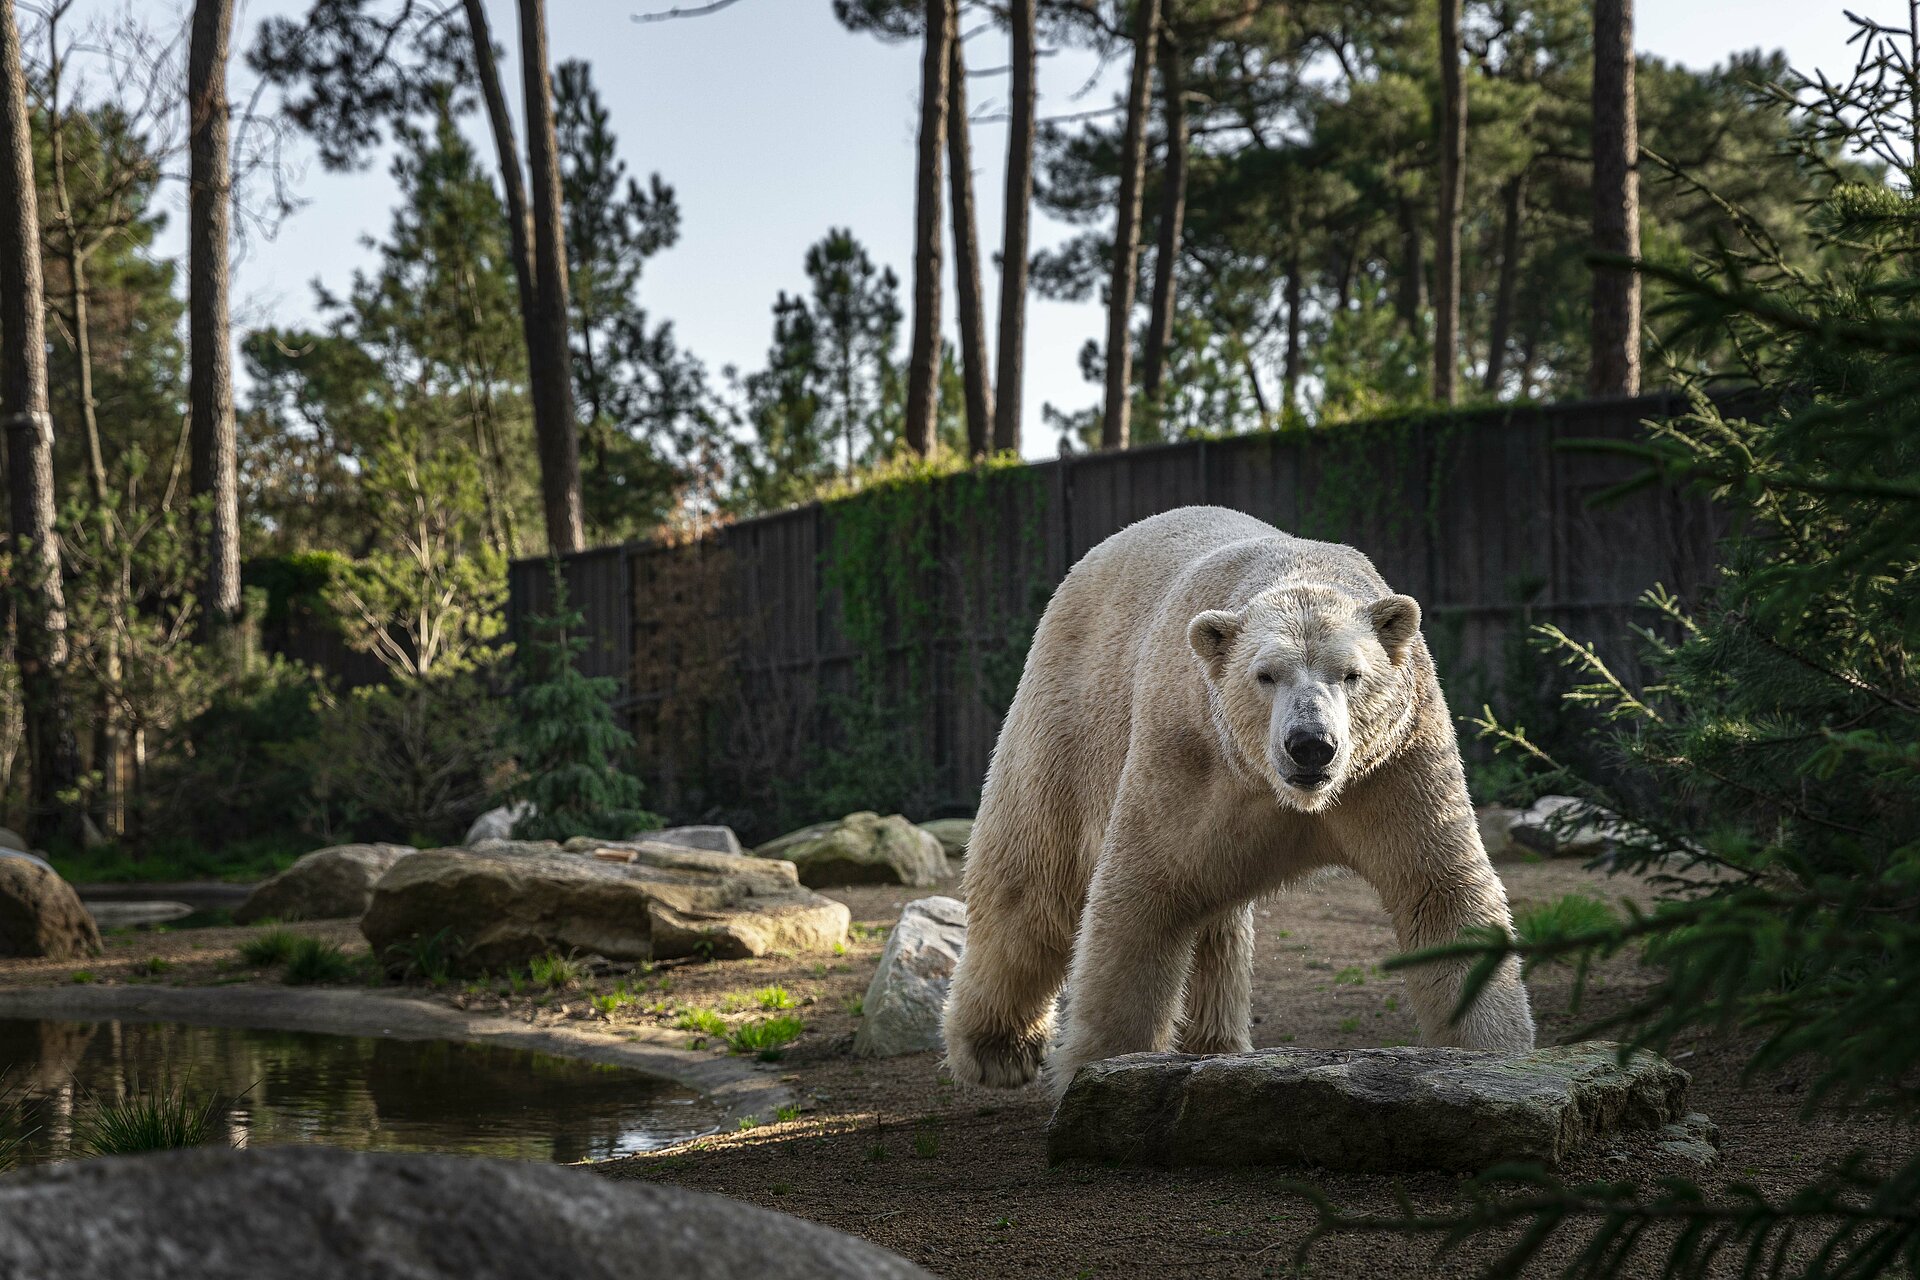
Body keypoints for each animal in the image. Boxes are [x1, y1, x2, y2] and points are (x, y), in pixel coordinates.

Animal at [940, 506, 1528, 1097]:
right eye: (1265, 674)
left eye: (1352, 674)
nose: (1310, 744)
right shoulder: (1188, 751)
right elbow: (1141, 897)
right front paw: (1103, 1068)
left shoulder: (1395, 765)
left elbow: (1440, 893)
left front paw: (1493, 1056)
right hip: (1069, 714)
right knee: (1033, 884)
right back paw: (996, 1050)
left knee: (1213, 922)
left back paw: (1213, 1044)